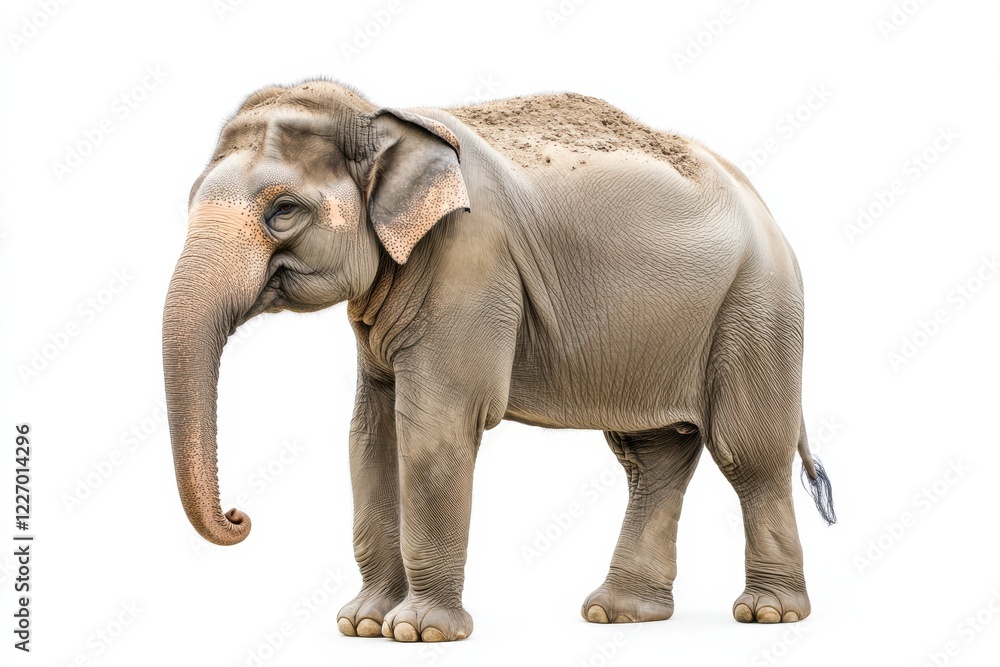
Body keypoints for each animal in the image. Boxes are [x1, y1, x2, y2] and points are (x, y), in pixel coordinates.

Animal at [162, 80, 836, 643]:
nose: (239, 515)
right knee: (653, 456)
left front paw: (420, 633)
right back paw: (618, 613)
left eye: (283, 211)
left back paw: (767, 614)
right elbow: (369, 434)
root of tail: (768, 211)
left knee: (748, 453)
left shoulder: (471, 262)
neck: (382, 117)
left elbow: (434, 428)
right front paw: (363, 625)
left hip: (757, 307)